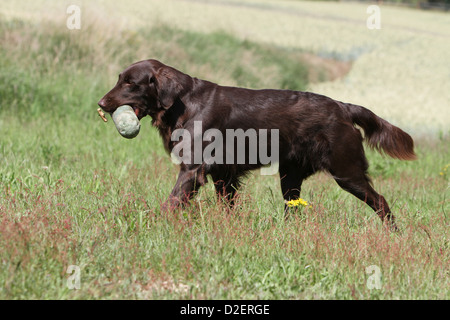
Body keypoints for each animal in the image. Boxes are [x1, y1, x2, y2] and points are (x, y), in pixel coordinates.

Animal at [98, 59, 414, 230]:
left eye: (130, 83)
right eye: (120, 79)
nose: (101, 103)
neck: (182, 103)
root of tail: (343, 107)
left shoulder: (193, 169)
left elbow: (171, 203)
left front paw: (150, 225)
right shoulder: (223, 175)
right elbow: (227, 206)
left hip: (346, 171)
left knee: (381, 202)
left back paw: (395, 234)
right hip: (290, 177)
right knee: (293, 208)